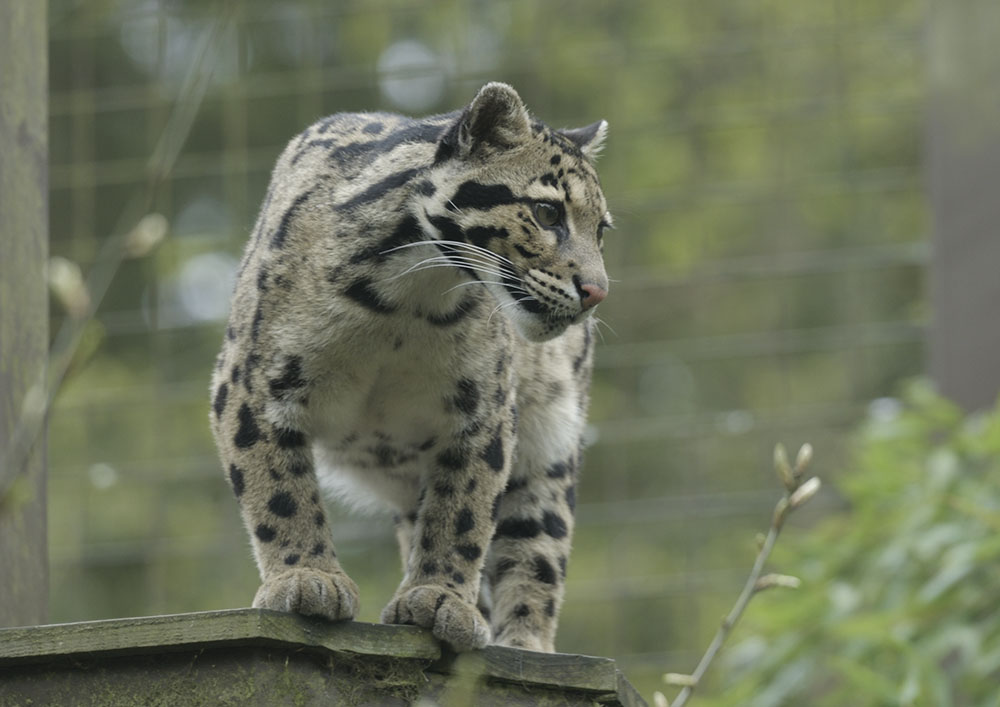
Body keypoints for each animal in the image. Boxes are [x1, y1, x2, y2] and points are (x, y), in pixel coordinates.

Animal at [210, 82, 612, 653]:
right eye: (546, 212)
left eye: (602, 231)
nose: (598, 292)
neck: (404, 301)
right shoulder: (251, 386)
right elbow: (277, 489)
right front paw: (306, 576)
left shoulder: (483, 409)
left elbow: (463, 510)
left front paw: (441, 598)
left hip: (550, 450)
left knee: (535, 548)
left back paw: (523, 643)